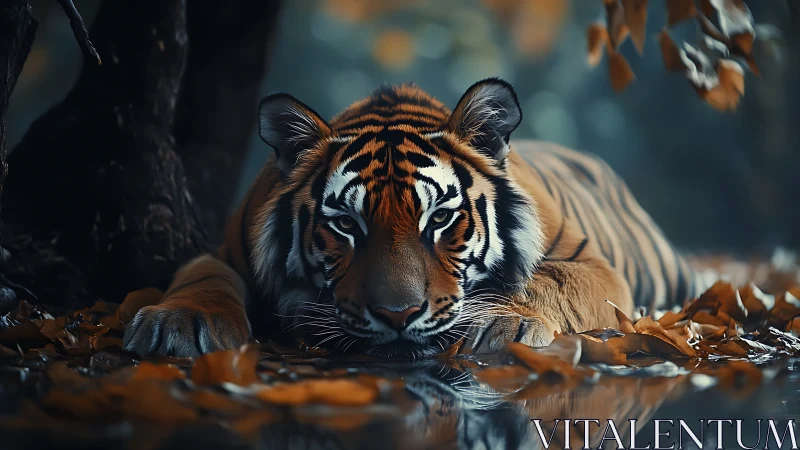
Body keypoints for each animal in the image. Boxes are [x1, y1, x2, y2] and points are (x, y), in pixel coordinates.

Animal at [122, 78, 713, 358]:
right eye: (346, 225)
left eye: (441, 219)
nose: (398, 316)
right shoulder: (221, 252)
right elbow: (204, 279)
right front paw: (179, 324)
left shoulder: (593, 265)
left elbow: (547, 281)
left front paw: (504, 321)